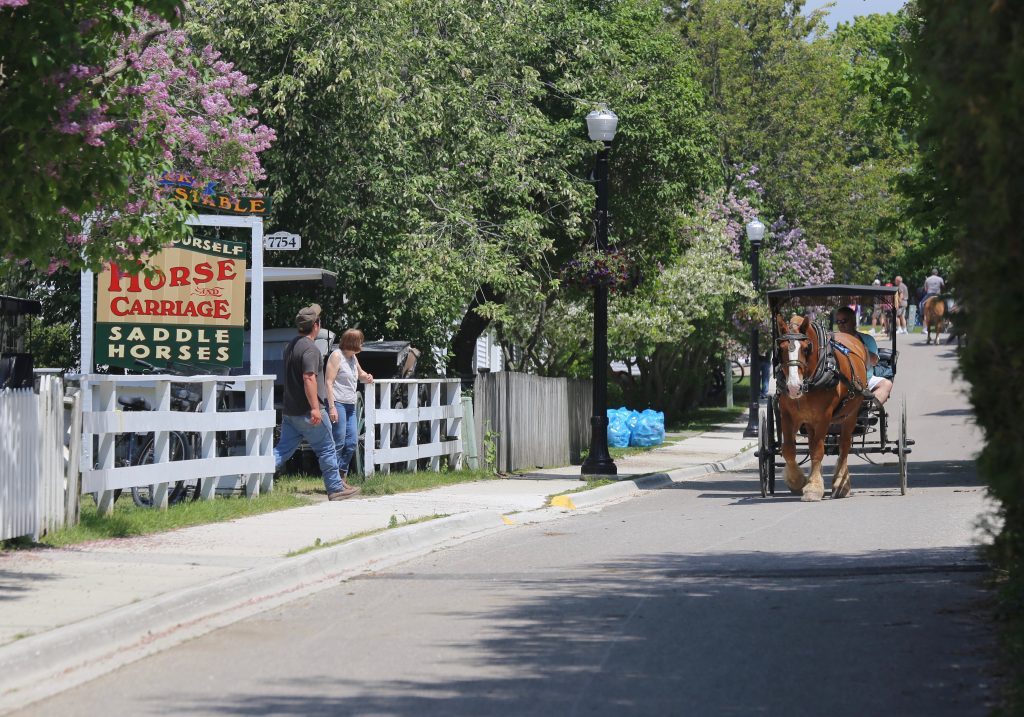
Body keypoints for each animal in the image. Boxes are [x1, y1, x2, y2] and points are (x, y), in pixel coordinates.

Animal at [774, 315, 872, 501]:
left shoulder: (824, 417)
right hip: (810, 421)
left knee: (844, 445)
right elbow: (789, 450)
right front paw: (797, 481)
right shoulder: (787, 415)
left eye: (806, 348)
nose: (793, 387)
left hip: (850, 415)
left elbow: (818, 451)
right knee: (813, 444)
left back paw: (841, 483)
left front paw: (813, 488)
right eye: (781, 349)